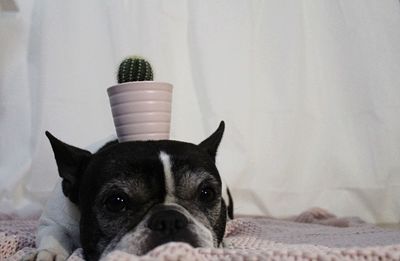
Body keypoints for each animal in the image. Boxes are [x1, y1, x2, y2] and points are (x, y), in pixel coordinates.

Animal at [29, 121, 233, 258]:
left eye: (207, 194)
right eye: (116, 202)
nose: (169, 219)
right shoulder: (53, 220)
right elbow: (55, 234)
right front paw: (48, 253)